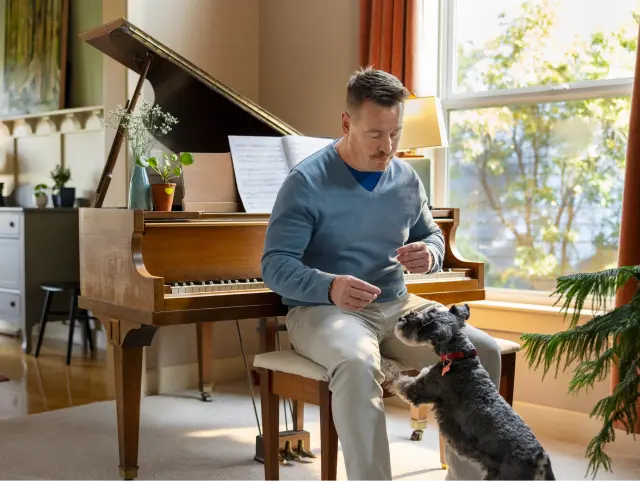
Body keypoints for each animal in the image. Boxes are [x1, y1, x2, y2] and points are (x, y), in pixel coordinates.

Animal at [384, 304, 556, 480]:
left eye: (424, 320)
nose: (401, 319)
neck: (459, 357)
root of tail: (541, 458)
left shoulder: (416, 390)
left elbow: (396, 376)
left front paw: (384, 364)